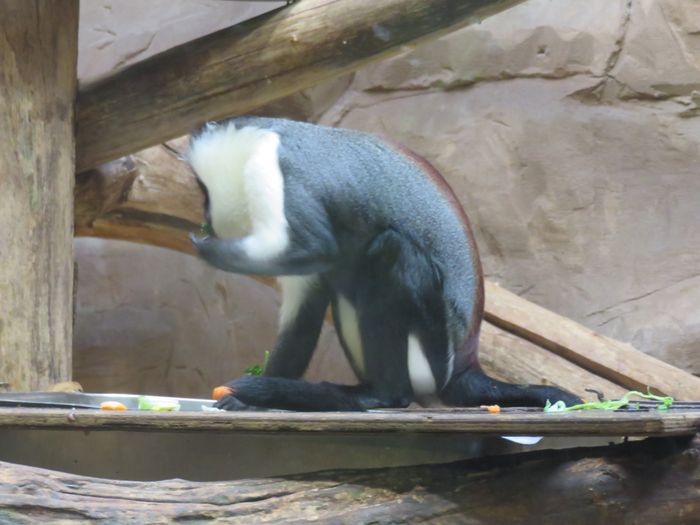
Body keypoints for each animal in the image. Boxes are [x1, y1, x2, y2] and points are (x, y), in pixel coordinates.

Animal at [186, 116, 580, 412]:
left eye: (205, 191)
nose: (205, 215)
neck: (261, 136)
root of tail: (465, 368)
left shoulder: (273, 167)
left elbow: (313, 248)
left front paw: (206, 250)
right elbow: (303, 312)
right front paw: (250, 399)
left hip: (429, 354)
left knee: (392, 249)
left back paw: (378, 395)